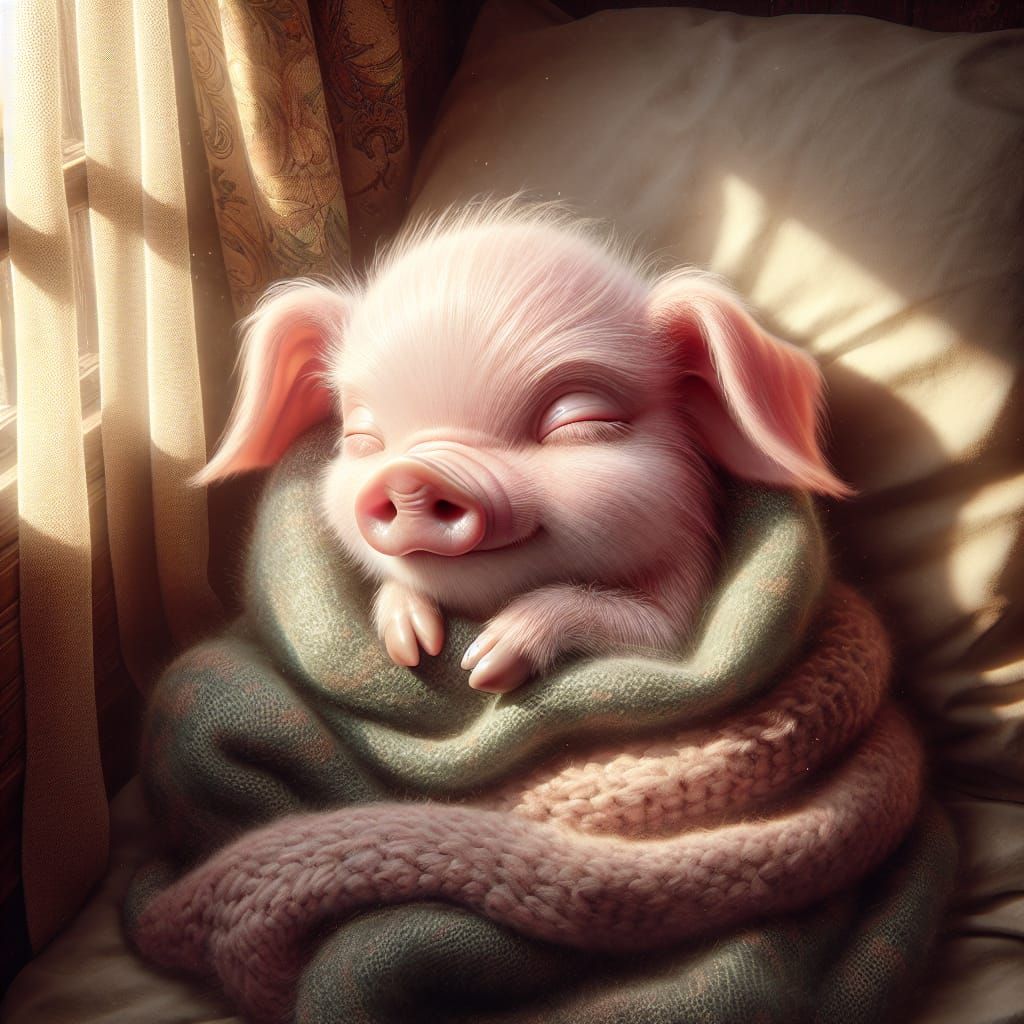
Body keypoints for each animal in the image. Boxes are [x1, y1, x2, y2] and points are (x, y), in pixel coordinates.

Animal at [197, 202, 848, 694]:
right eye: (362, 437)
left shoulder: (683, 621)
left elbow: (647, 628)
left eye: (576, 420)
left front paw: (483, 668)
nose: (410, 474)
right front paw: (411, 646)